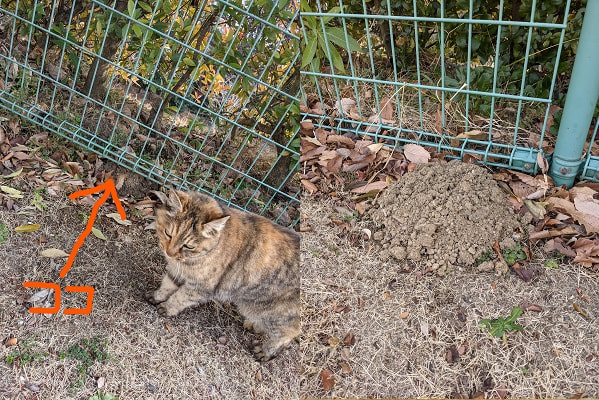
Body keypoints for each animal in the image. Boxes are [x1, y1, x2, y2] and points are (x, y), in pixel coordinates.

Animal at [146, 189, 300, 360]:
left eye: (188, 246)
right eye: (168, 233)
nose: (169, 253)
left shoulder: (199, 288)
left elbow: (179, 298)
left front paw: (167, 308)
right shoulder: (177, 272)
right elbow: (167, 285)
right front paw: (157, 296)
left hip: (274, 312)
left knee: (288, 333)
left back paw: (266, 352)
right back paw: (255, 325)